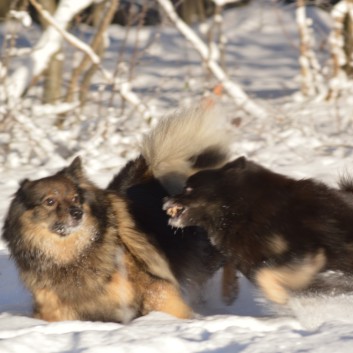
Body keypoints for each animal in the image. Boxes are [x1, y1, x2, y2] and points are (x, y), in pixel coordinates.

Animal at [163, 155, 353, 304]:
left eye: (189, 188)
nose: (165, 198)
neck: (243, 209)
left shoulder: (308, 250)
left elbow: (265, 273)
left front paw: (279, 296)